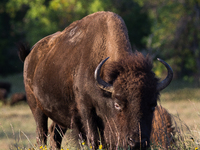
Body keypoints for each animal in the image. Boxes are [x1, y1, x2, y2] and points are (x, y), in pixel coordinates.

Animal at [18, 11, 173, 149]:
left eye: (153, 105)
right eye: (117, 104)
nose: (137, 142)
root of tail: (30, 54)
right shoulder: (86, 110)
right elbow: (94, 139)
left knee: (54, 133)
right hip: (36, 107)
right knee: (42, 134)